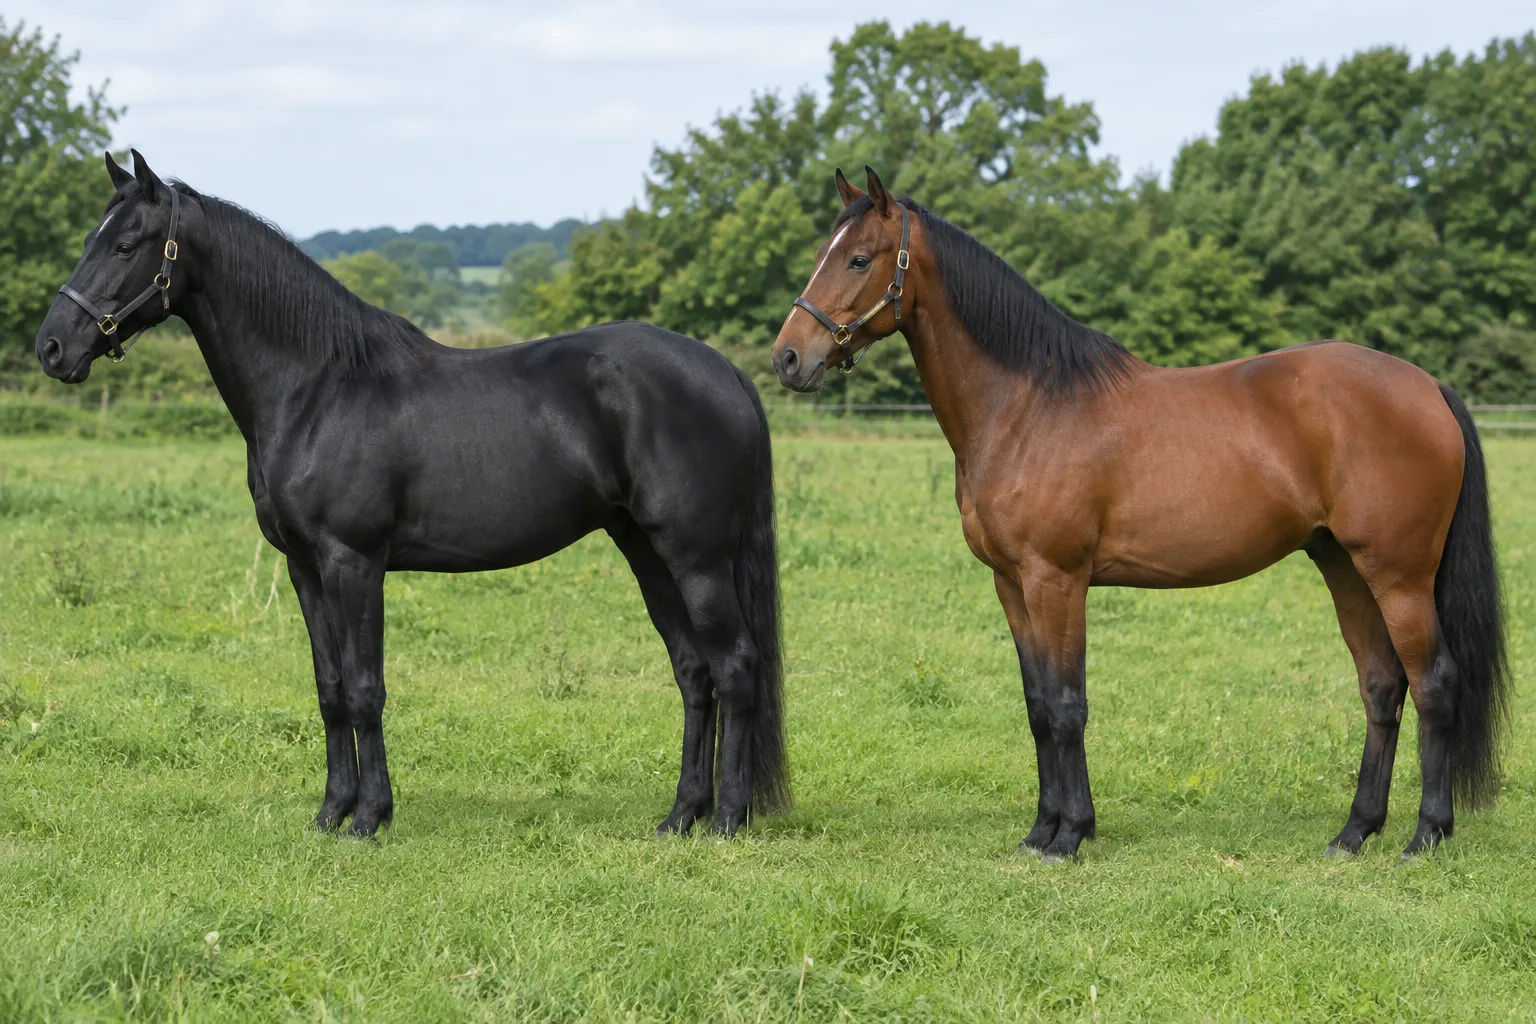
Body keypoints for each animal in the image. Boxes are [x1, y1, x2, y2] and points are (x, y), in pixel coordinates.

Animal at [35, 151, 788, 838]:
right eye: (89, 239)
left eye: (125, 245)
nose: (51, 347)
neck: (318, 387)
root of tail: (724, 371)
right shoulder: (304, 570)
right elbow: (331, 690)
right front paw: (330, 813)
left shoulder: (354, 563)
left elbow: (367, 690)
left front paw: (370, 817)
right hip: (646, 552)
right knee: (694, 672)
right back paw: (681, 816)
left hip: (696, 559)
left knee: (735, 666)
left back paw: (727, 818)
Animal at [773, 166, 1508, 863]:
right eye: (820, 253)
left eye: (859, 259)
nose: (788, 357)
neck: (1028, 406)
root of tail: (1427, 386)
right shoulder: (1011, 584)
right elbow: (1037, 707)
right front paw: (1040, 832)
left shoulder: (1057, 580)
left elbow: (1067, 705)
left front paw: (1069, 837)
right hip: (1345, 567)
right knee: (1381, 686)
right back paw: (1354, 833)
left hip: (1399, 576)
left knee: (1434, 684)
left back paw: (1425, 836)